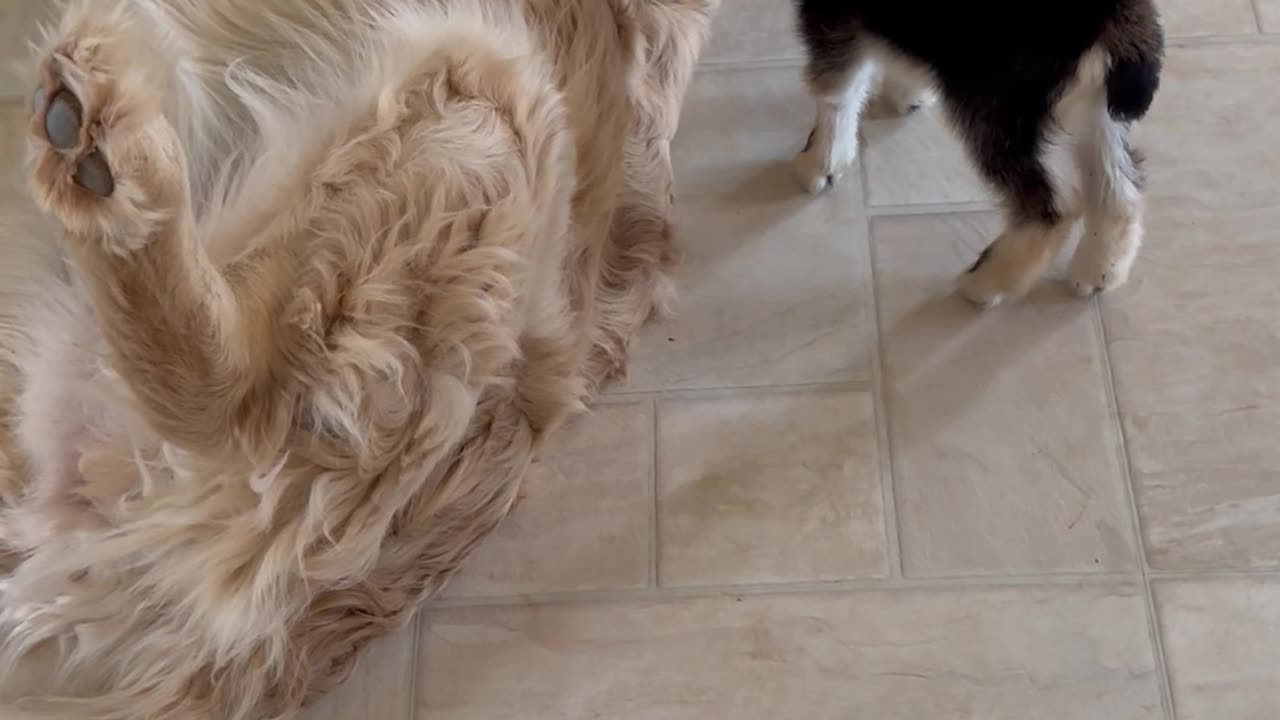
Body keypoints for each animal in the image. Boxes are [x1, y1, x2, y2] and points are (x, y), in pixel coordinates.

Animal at [788, 0, 1162, 303]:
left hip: (994, 99)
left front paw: (822, 160)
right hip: (1095, 106)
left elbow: (837, 86)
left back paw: (986, 283)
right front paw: (908, 91)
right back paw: (1098, 272)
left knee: (1051, 210)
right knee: (1119, 192)